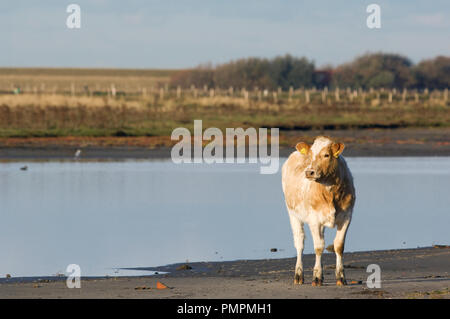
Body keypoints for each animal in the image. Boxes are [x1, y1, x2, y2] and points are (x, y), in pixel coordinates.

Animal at [282, 136, 356, 286]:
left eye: (326, 155)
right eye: (310, 155)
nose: (309, 172)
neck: (330, 192)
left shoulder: (346, 217)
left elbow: (339, 246)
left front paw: (341, 277)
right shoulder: (314, 220)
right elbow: (319, 247)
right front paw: (317, 277)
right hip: (293, 214)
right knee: (299, 243)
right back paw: (298, 275)